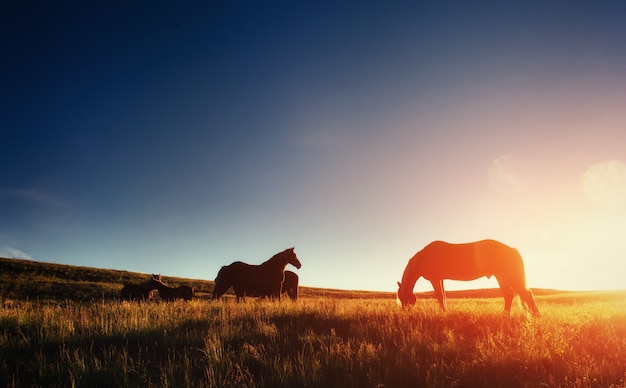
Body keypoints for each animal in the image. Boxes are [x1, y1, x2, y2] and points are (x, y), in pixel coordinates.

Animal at [398, 239, 540, 316]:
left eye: (403, 297)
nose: (404, 313)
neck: (423, 258)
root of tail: (511, 249)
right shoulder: (440, 279)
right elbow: (443, 296)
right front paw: (445, 311)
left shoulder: (435, 279)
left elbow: (439, 296)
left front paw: (443, 313)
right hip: (505, 278)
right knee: (516, 294)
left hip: (504, 277)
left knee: (520, 294)